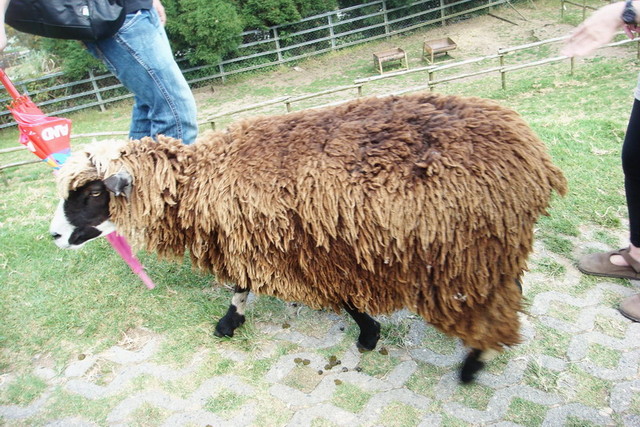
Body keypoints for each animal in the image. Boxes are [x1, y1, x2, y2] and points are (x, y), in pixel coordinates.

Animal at [49, 92, 567, 383]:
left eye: (92, 191)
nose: (53, 235)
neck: (204, 182)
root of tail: (531, 155)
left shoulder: (314, 246)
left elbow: (341, 298)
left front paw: (367, 335)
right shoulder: (260, 237)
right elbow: (242, 284)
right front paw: (230, 322)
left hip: (471, 250)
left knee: (490, 308)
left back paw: (472, 366)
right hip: (490, 247)